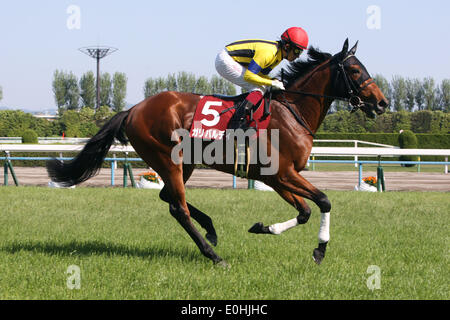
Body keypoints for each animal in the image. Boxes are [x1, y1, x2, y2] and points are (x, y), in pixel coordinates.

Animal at [47, 38, 388, 266]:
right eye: (354, 70)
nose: (382, 103)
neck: (293, 112)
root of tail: (132, 110)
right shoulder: (283, 173)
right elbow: (324, 201)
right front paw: (319, 250)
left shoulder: (277, 178)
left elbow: (304, 211)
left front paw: (263, 227)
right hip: (167, 159)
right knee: (178, 208)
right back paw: (213, 254)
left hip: (183, 163)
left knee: (168, 198)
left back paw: (210, 230)